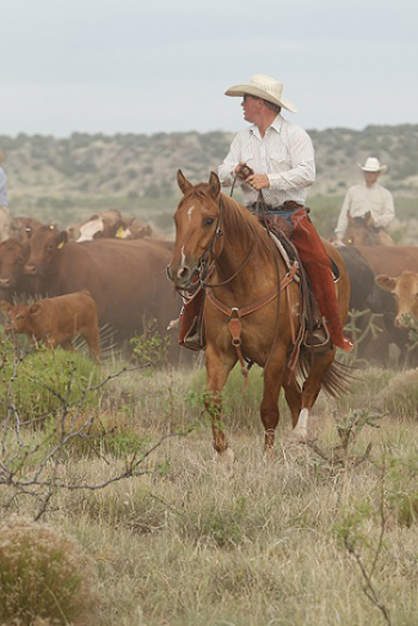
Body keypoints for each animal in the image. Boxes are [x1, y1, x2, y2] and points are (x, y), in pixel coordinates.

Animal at [168, 173, 352, 456]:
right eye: (177, 218)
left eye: (209, 219)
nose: (179, 271)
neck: (242, 283)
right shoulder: (219, 352)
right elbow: (211, 398)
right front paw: (224, 452)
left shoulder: (275, 353)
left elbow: (268, 410)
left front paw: (268, 456)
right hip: (287, 360)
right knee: (295, 396)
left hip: (325, 347)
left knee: (310, 389)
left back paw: (300, 436)